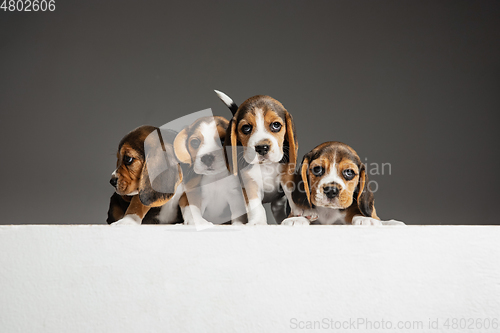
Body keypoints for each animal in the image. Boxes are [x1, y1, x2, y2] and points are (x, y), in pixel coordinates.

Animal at [215, 91, 296, 224]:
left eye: (276, 125)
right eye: (246, 128)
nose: (262, 147)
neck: (266, 166)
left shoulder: (287, 178)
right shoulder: (250, 183)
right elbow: (256, 206)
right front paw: (257, 222)